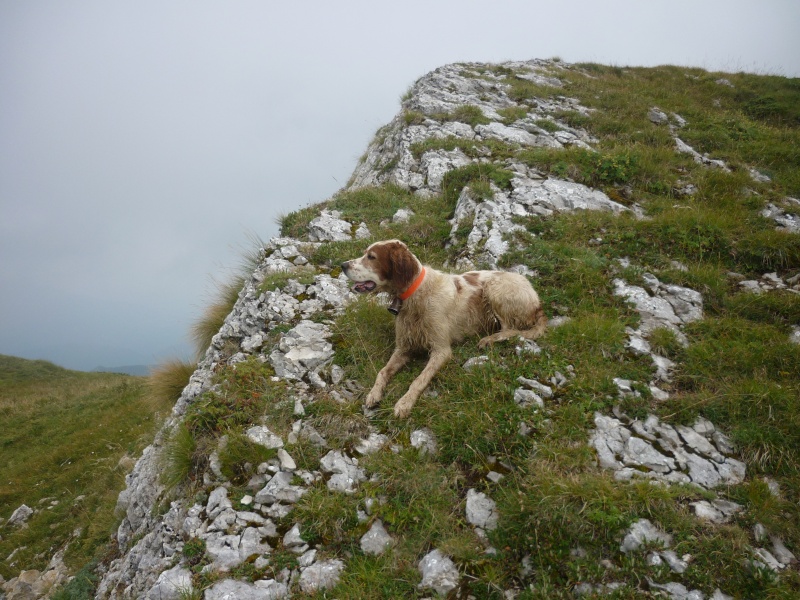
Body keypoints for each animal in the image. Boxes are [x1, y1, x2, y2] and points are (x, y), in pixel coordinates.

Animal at [340, 239, 548, 418]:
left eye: (371, 256)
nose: (342, 265)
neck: (416, 295)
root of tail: (537, 301)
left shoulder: (441, 350)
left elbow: (419, 379)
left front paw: (404, 403)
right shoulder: (403, 348)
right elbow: (383, 371)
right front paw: (374, 394)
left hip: (494, 288)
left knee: (509, 329)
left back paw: (487, 339)